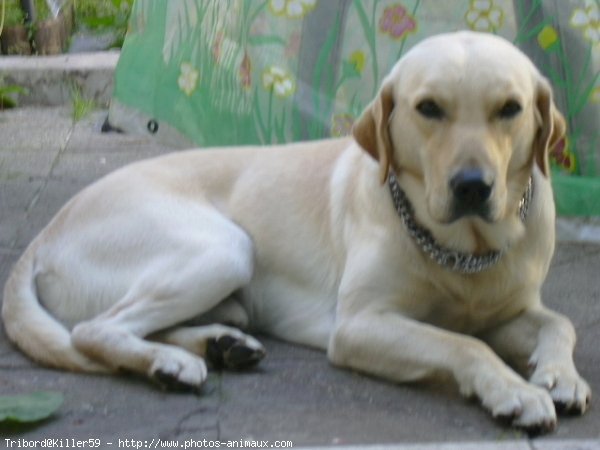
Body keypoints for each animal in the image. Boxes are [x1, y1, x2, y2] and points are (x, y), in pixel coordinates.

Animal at [1, 31, 592, 432]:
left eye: (510, 109)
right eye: (429, 108)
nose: (472, 186)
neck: (464, 250)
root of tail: (42, 236)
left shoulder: (510, 310)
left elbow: (560, 323)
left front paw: (560, 377)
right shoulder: (359, 325)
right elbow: (463, 344)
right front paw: (514, 391)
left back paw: (218, 346)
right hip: (223, 247)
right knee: (93, 330)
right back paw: (174, 362)